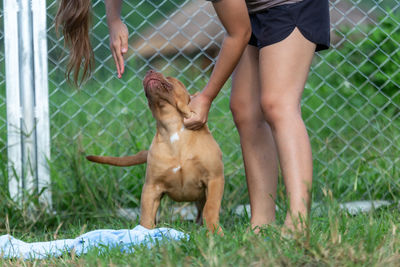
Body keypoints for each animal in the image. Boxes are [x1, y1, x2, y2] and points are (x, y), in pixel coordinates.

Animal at [87, 70, 223, 234]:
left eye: (171, 78)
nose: (149, 71)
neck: (172, 127)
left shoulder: (214, 179)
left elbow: (210, 209)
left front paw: (216, 233)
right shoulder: (151, 188)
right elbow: (146, 218)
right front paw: (144, 234)